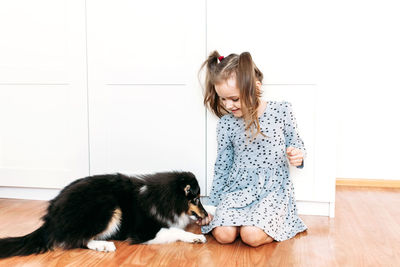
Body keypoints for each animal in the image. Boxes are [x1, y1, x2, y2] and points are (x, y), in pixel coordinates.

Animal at [0, 173, 211, 258]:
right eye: (196, 198)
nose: (204, 214)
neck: (168, 199)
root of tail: (51, 216)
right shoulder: (143, 232)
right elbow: (175, 231)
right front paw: (196, 237)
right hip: (108, 206)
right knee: (77, 240)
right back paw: (103, 245)